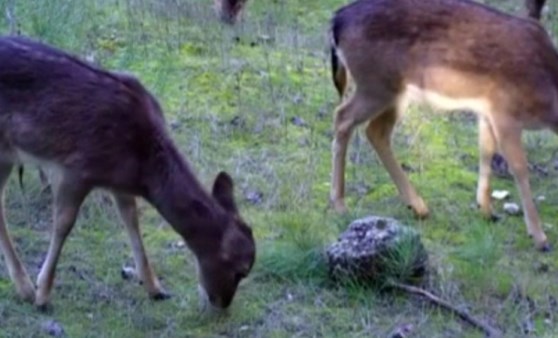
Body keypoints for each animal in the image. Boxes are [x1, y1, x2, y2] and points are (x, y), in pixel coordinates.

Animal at [0, 35, 258, 310]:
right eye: (240, 270)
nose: (222, 304)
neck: (143, 171)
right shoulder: (76, 168)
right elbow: (63, 224)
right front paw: (43, 294)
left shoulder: (119, 183)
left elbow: (132, 221)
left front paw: (155, 288)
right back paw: (27, 289)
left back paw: (23, 287)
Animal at [328, 0, 558, 250]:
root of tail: (337, 21)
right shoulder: (505, 112)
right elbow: (519, 167)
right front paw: (539, 236)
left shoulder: (487, 112)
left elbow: (486, 151)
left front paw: (486, 210)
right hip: (376, 84)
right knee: (343, 117)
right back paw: (340, 204)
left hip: (395, 91)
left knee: (376, 131)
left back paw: (418, 206)